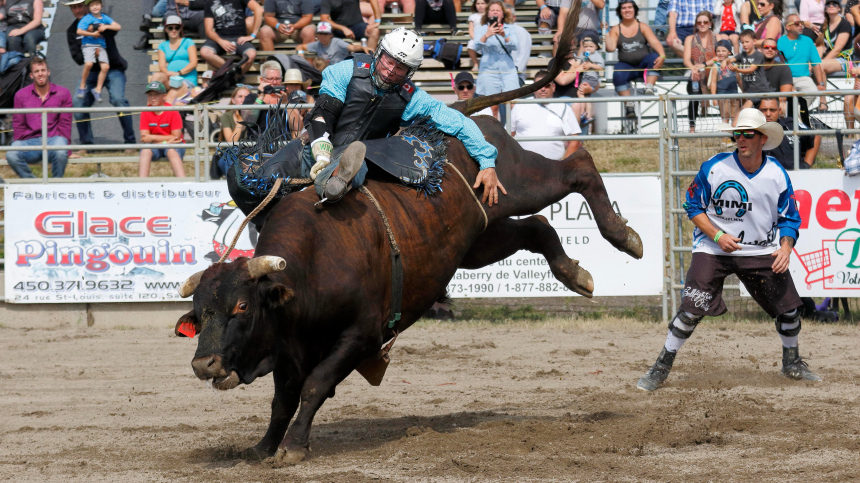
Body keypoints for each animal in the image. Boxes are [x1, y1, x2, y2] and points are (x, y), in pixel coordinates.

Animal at [175, 2, 640, 466]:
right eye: (199, 312)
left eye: (241, 307)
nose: (204, 366)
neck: (314, 263)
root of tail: (464, 112)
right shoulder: (289, 343)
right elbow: (283, 399)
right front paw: (264, 446)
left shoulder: (360, 336)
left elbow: (314, 386)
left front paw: (293, 446)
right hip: (479, 241)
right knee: (537, 228)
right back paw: (575, 275)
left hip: (519, 181)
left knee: (578, 168)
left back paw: (624, 237)